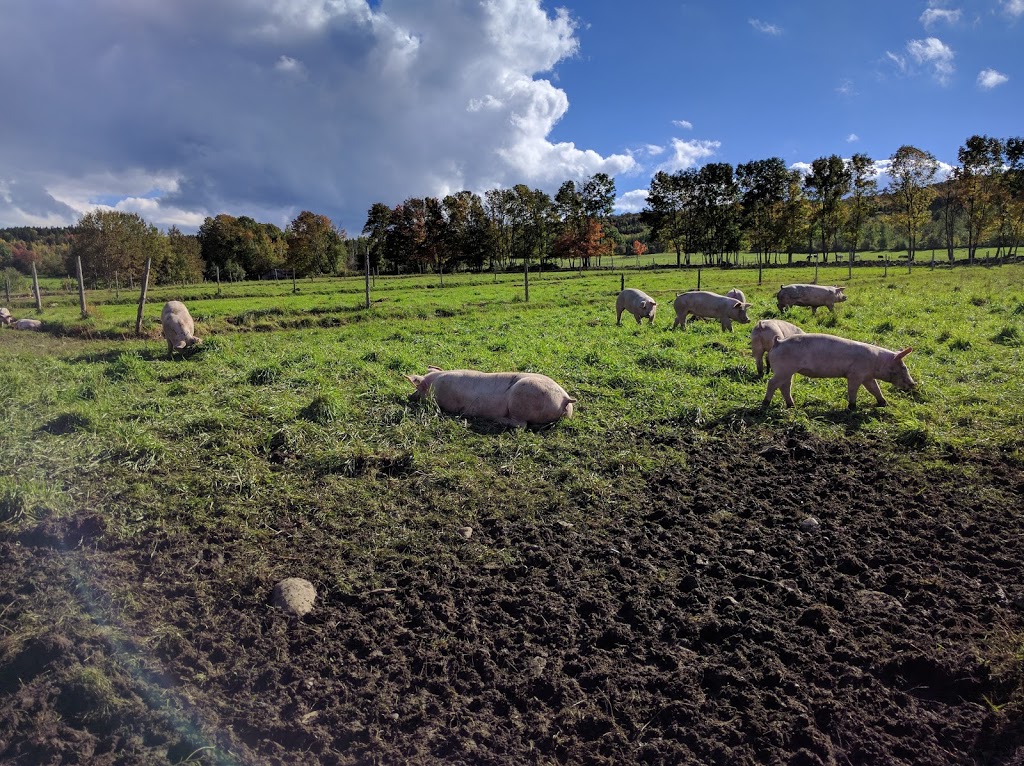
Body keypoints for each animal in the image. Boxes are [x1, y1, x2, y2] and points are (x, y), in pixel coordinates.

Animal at [403, 366, 577, 428]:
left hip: (521, 397)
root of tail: (565, 399)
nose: (409, 397)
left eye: (418, 388)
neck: (434, 384)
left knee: (521, 425)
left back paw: (497, 420)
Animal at [761, 331, 921, 409]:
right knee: (772, 383)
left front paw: (884, 404)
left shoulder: (868, 376)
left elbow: (875, 389)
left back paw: (792, 406)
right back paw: (765, 404)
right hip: (784, 369)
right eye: (903, 367)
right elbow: (852, 390)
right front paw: (852, 407)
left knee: (785, 386)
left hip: (788, 371)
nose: (913, 384)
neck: (876, 362)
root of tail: (777, 342)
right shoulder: (855, 374)